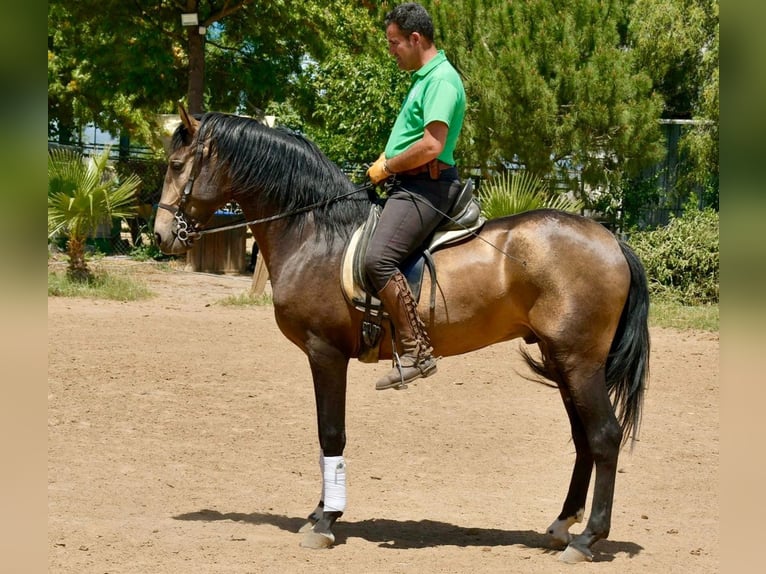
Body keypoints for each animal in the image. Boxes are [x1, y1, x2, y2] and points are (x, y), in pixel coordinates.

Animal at [153, 108, 652, 568]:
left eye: (176, 165)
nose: (160, 235)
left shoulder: (325, 352)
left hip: (579, 361)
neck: (315, 233)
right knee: (583, 438)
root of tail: (610, 240)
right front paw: (321, 513)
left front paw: (325, 521)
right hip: (561, 358)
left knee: (604, 436)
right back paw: (562, 525)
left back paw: (587, 539)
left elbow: (330, 433)